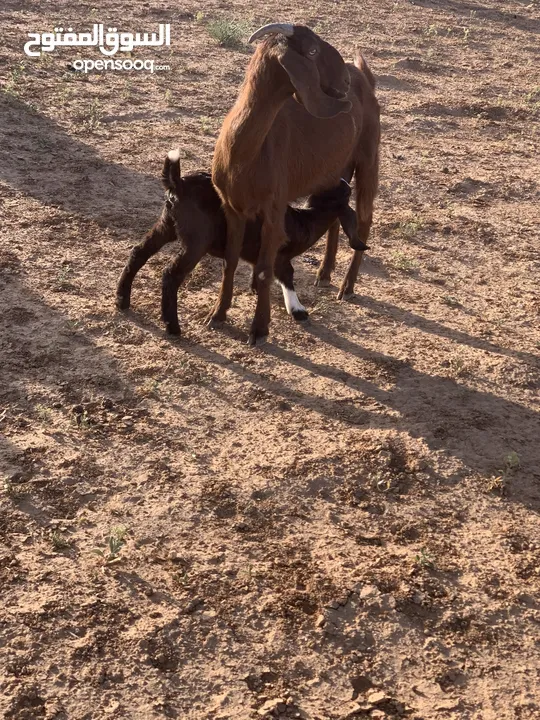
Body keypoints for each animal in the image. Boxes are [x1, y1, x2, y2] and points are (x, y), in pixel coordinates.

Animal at [211, 23, 380, 344]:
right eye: (312, 51)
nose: (345, 81)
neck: (245, 154)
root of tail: (366, 75)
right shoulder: (232, 207)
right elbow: (229, 261)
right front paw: (217, 315)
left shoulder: (274, 209)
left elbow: (265, 270)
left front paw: (259, 329)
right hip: (333, 171)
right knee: (338, 215)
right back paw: (324, 273)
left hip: (369, 156)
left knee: (364, 218)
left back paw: (347, 286)